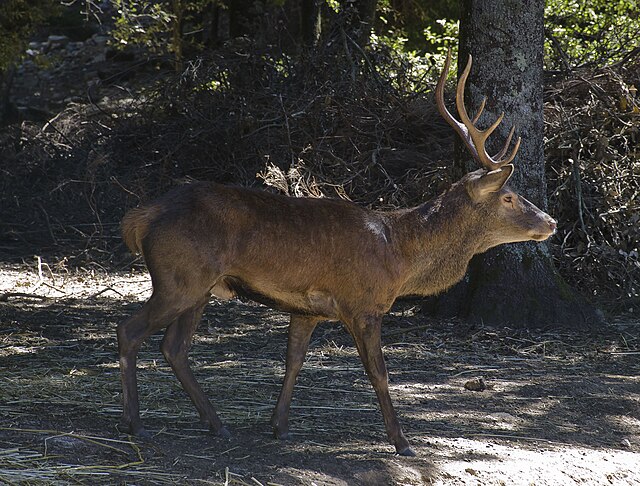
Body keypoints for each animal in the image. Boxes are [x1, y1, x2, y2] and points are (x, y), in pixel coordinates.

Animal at [119, 51, 556, 458]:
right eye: (509, 197)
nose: (551, 222)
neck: (399, 256)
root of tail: (142, 217)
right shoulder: (362, 304)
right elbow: (378, 373)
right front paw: (402, 442)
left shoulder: (306, 308)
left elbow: (293, 360)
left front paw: (279, 427)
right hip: (179, 278)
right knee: (130, 331)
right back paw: (136, 424)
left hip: (201, 287)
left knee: (175, 348)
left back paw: (217, 424)